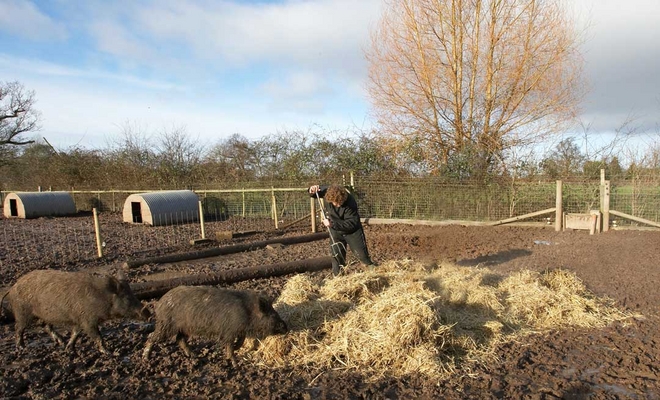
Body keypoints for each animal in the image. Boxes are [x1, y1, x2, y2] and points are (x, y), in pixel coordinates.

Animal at [6, 269, 150, 354]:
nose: (148, 313)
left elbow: (75, 333)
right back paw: (21, 348)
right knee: (18, 328)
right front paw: (110, 352)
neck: (101, 297)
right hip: (22, 312)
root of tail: (13, 286)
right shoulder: (88, 320)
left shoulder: (79, 319)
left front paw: (69, 348)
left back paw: (61, 342)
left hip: (44, 315)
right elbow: (97, 336)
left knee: (46, 327)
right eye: (127, 298)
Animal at [142, 286, 288, 364]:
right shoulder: (229, 331)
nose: (286, 326)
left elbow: (240, 341)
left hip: (184, 328)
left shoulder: (238, 330)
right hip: (166, 325)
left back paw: (193, 356)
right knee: (151, 337)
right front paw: (235, 362)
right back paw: (146, 358)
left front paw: (236, 349)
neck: (248, 312)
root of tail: (159, 302)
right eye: (271, 315)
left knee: (179, 339)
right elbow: (229, 345)